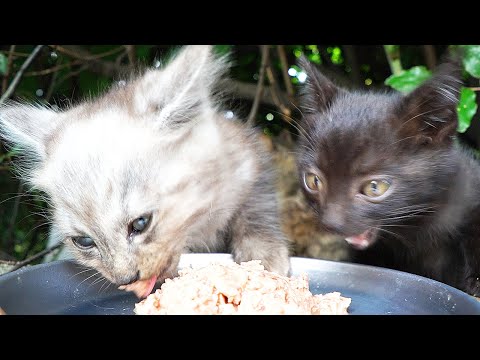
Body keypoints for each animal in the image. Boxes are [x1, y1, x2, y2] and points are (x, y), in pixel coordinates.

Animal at [0, 45, 290, 296]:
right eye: (84, 241)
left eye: (140, 223)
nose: (126, 277)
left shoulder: (250, 158)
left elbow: (256, 210)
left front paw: (264, 255)